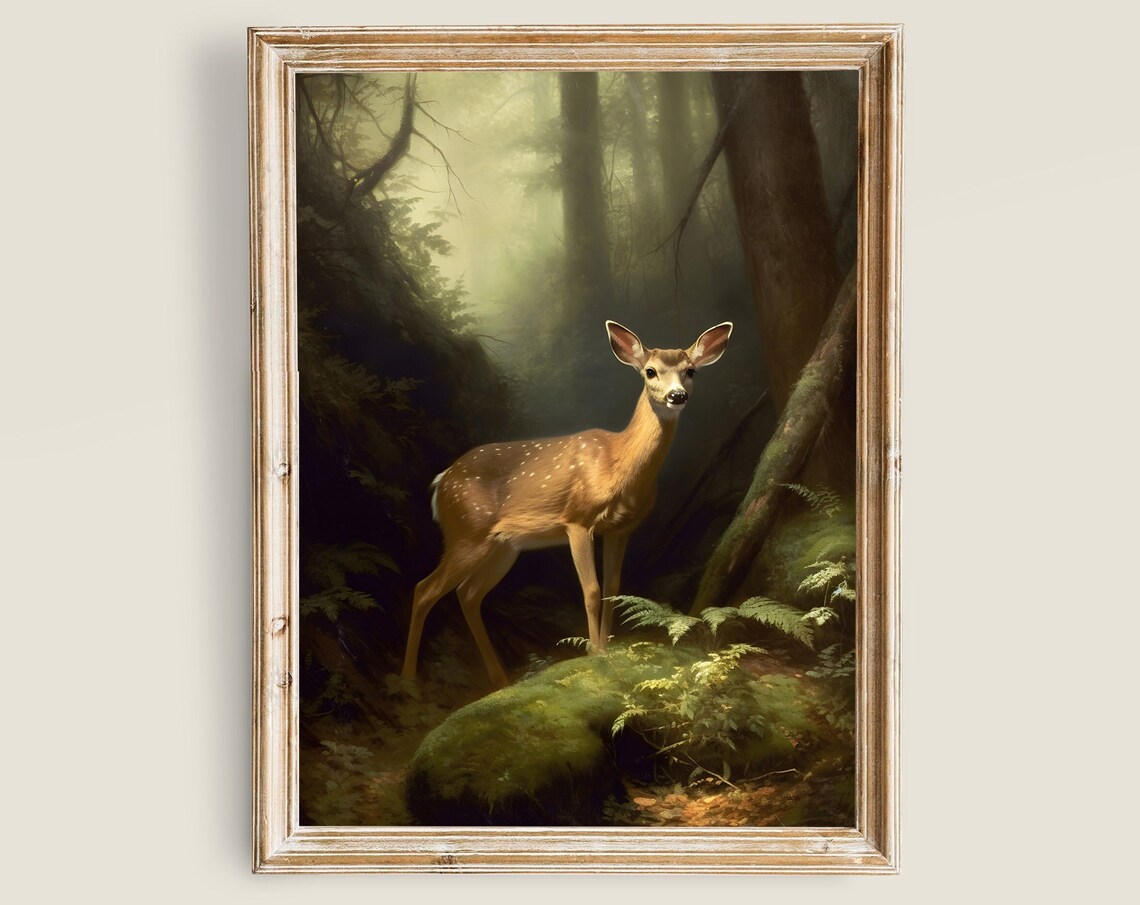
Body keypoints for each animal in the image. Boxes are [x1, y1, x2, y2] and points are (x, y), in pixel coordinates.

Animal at [401, 319, 733, 688]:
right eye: (650, 371)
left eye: (691, 371)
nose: (677, 396)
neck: (617, 464)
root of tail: (440, 481)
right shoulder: (577, 520)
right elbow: (590, 590)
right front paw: (597, 654)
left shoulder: (620, 529)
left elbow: (612, 588)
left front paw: (606, 648)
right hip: (466, 532)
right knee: (425, 589)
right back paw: (408, 680)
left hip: (503, 546)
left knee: (468, 594)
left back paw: (500, 679)